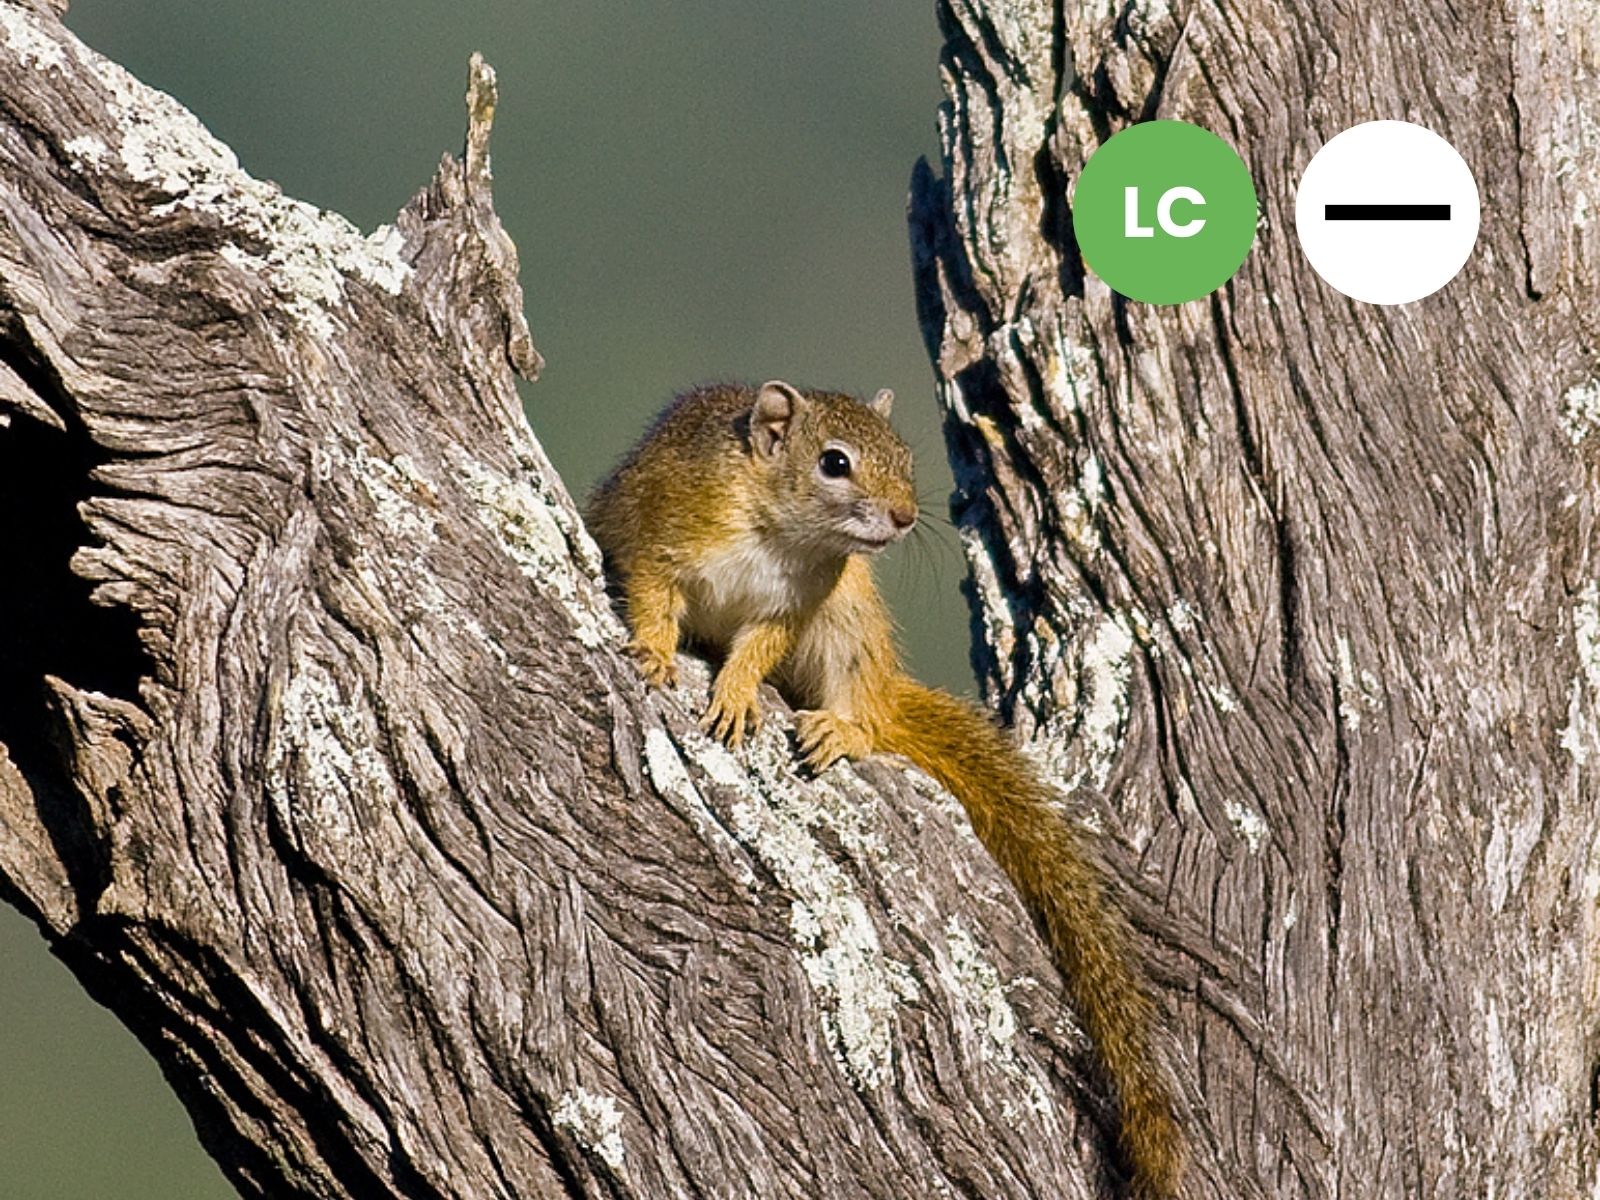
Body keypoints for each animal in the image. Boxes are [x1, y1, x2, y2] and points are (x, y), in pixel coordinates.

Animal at [587, 380, 1184, 1198]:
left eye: (904, 455)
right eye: (834, 462)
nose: (903, 516)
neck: (779, 533)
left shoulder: (799, 603)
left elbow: (759, 647)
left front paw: (738, 690)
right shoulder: (664, 526)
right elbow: (650, 591)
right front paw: (651, 650)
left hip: (850, 618)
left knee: (866, 705)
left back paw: (844, 727)